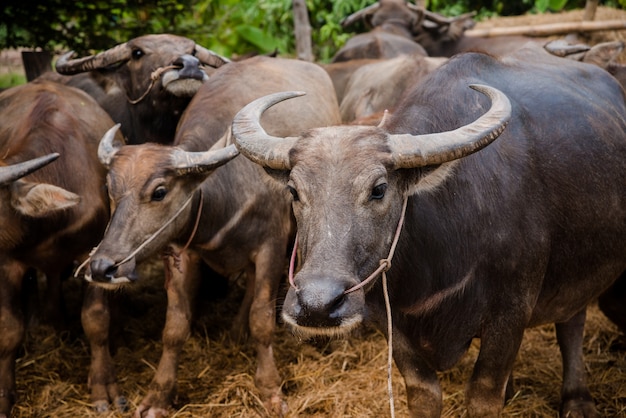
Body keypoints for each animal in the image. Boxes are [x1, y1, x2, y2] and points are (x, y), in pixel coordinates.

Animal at [80, 56, 338, 418]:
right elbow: (174, 327)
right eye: (110, 189)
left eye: (159, 191)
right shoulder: (181, 252)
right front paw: (158, 396)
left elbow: (262, 320)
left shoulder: (270, 248)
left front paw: (270, 389)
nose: (102, 267)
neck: (226, 191)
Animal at [233, 46, 624, 418]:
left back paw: (577, 400)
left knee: (572, 323)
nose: (317, 305)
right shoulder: (391, 322)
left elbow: (483, 399)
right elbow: (424, 397)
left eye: (379, 189)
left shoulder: (511, 312)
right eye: (294, 191)